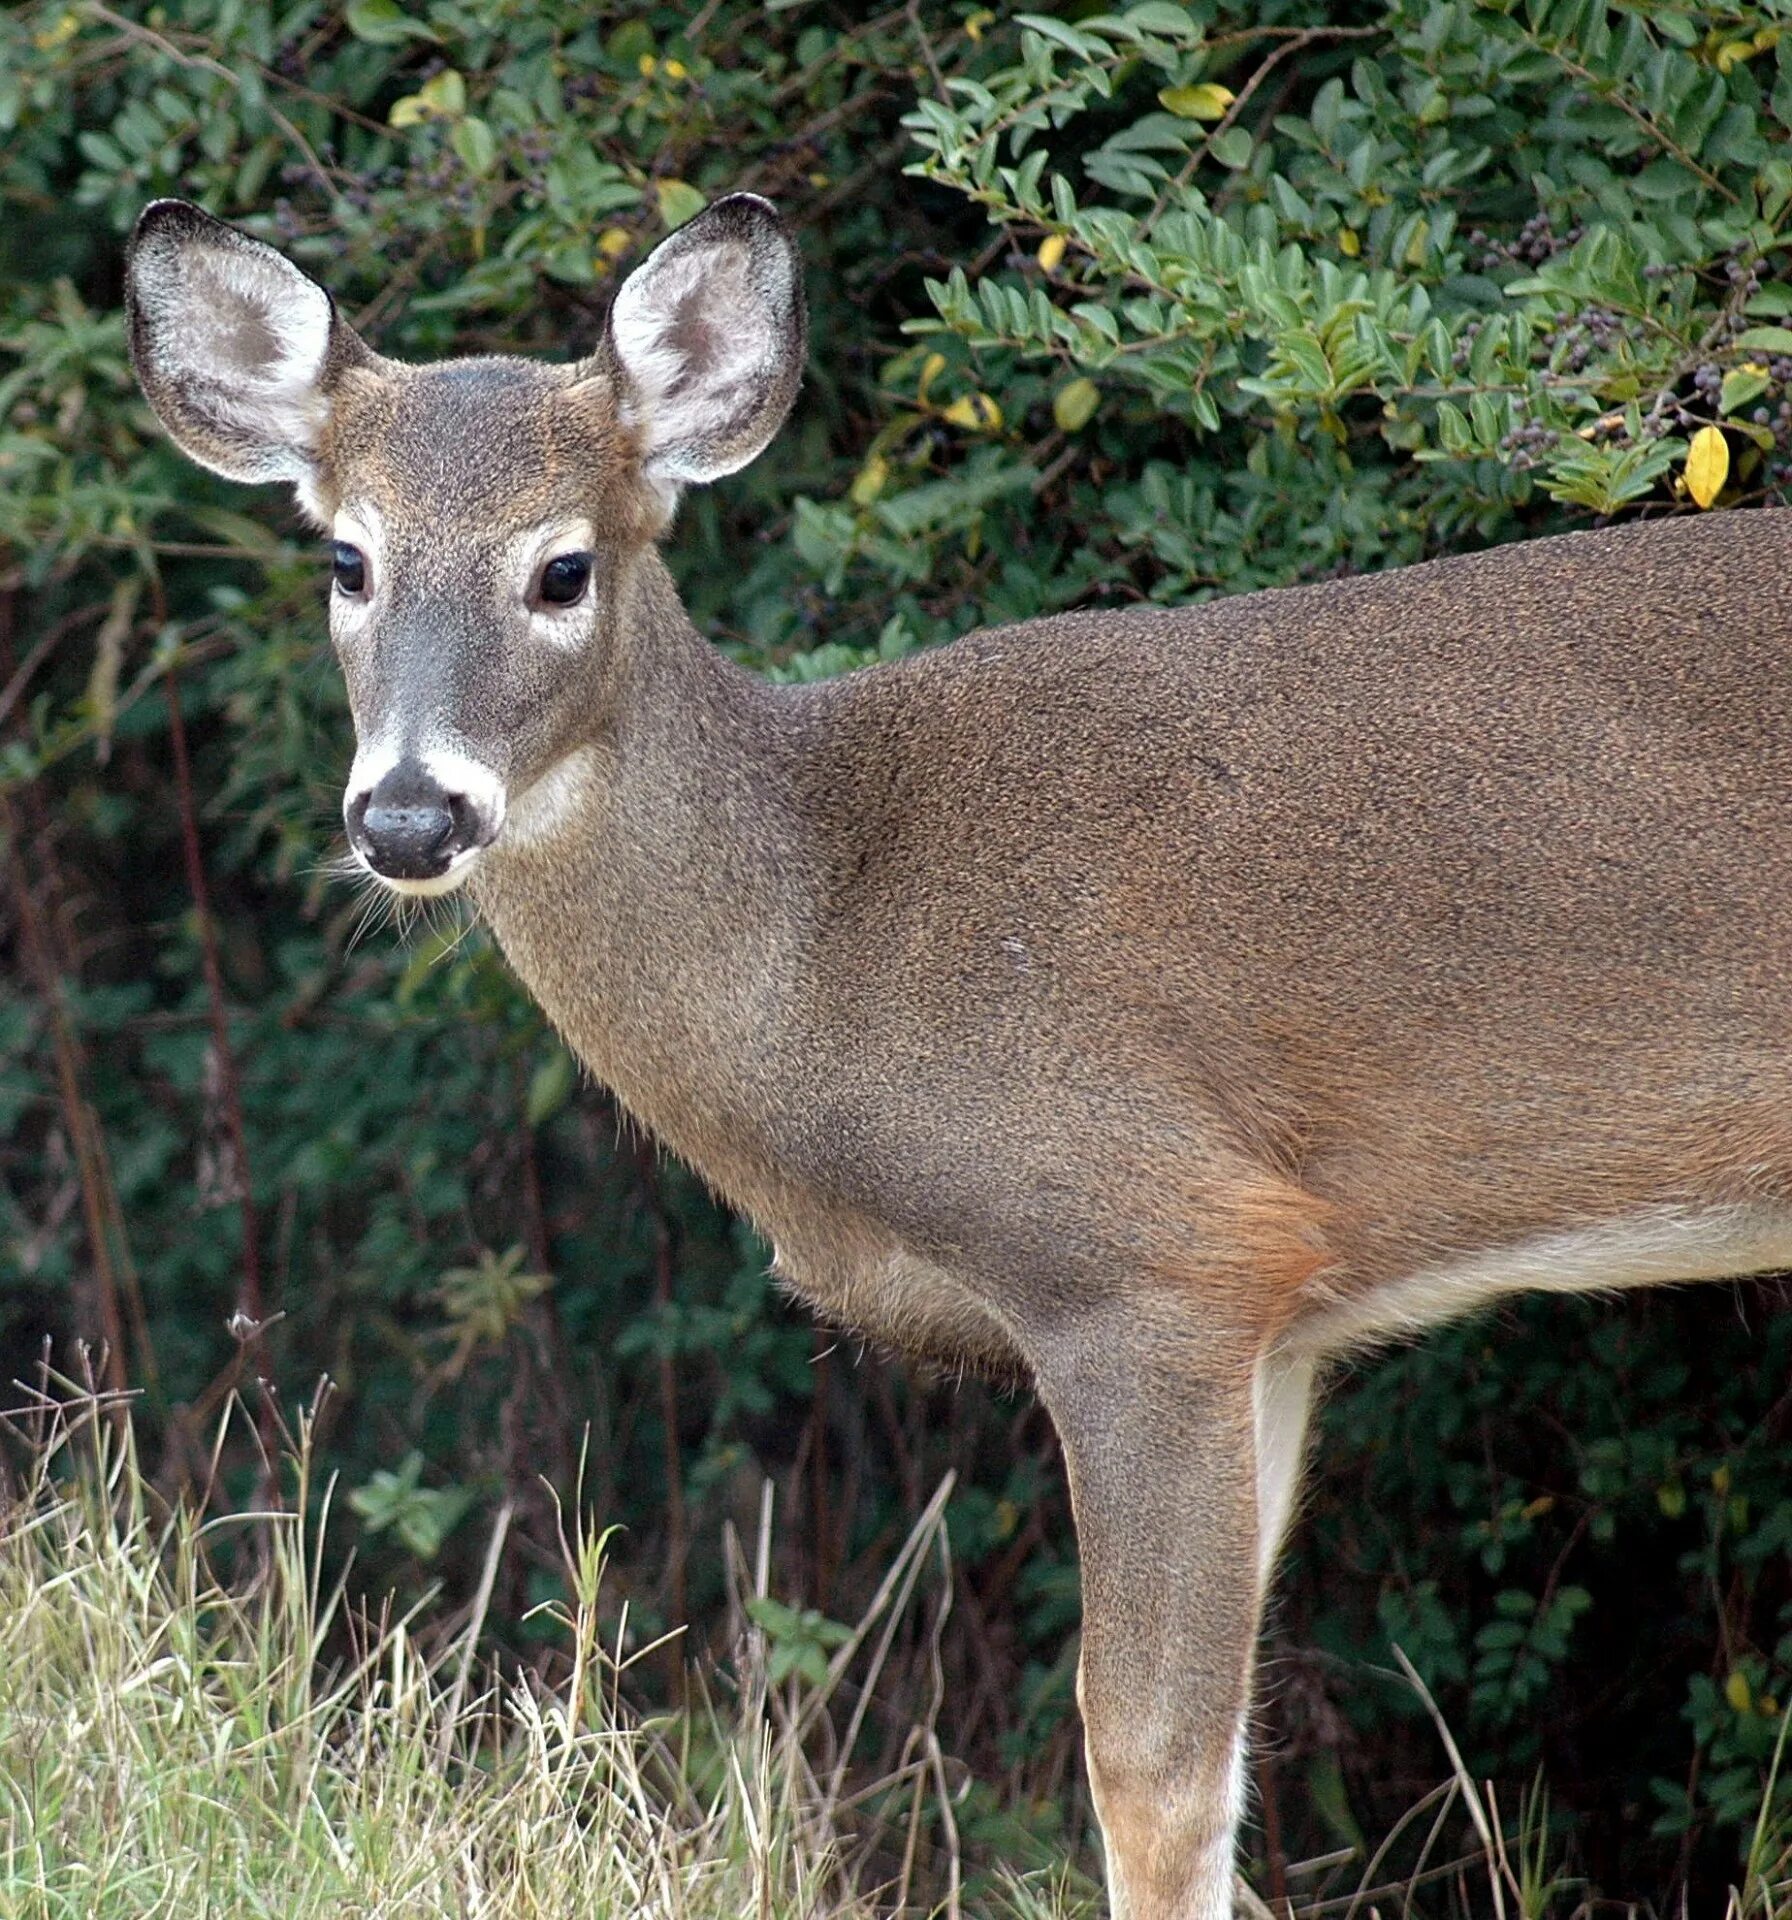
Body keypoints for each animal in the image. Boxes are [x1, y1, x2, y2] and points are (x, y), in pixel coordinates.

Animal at [119, 198, 1790, 1920]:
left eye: (563, 567)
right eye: (347, 557)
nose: (406, 816)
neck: (833, 940)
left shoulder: (1155, 1255)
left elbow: (1149, 1766)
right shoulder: (1278, 1323)